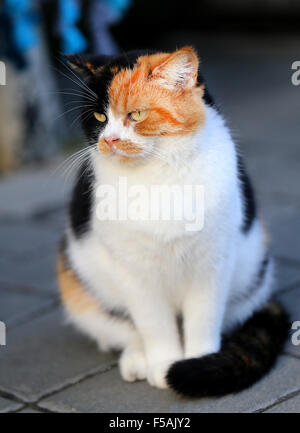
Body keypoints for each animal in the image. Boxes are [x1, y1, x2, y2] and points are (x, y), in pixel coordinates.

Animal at [56, 46, 288, 394]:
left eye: (137, 115)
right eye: (99, 118)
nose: (109, 140)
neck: (158, 173)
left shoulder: (213, 260)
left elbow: (203, 319)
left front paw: (197, 363)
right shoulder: (134, 271)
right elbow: (154, 324)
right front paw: (163, 364)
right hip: (76, 280)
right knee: (122, 328)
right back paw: (137, 361)